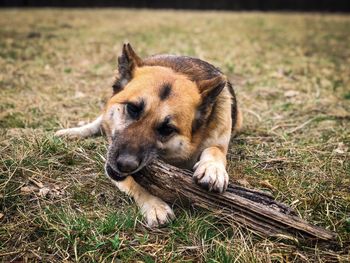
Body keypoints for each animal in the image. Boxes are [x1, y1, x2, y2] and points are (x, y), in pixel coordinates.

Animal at [56, 44, 242, 228]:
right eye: (132, 108)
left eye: (167, 129)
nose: (125, 164)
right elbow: (136, 183)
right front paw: (155, 205)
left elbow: (215, 149)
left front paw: (213, 168)